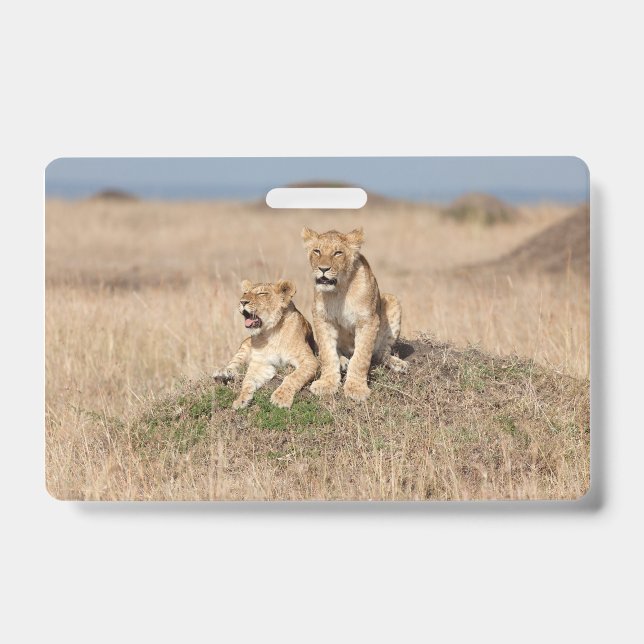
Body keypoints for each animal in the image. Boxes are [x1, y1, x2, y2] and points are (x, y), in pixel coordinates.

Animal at [213, 279, 318, 410]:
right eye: (245, 293)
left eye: (261, 293)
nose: (242, 302)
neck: (271, 332)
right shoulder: (261, 363)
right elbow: (247, 381)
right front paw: (241, 400)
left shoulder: (310, 360)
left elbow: (293, 377)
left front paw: (280, 398)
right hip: (245, 344)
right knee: (234, 363)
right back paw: (222, 373)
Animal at [301, 227, 407, 402]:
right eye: (317, 251)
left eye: (338, 253)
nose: (323, 269)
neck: (339, 290)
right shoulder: (322, 319)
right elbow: (327, 353)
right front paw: (327, 384)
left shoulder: (368, 321)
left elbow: (361, 358)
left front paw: (356, 388)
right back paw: (342, 360)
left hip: (392, 300)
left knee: (381, 353)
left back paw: (398, 364)